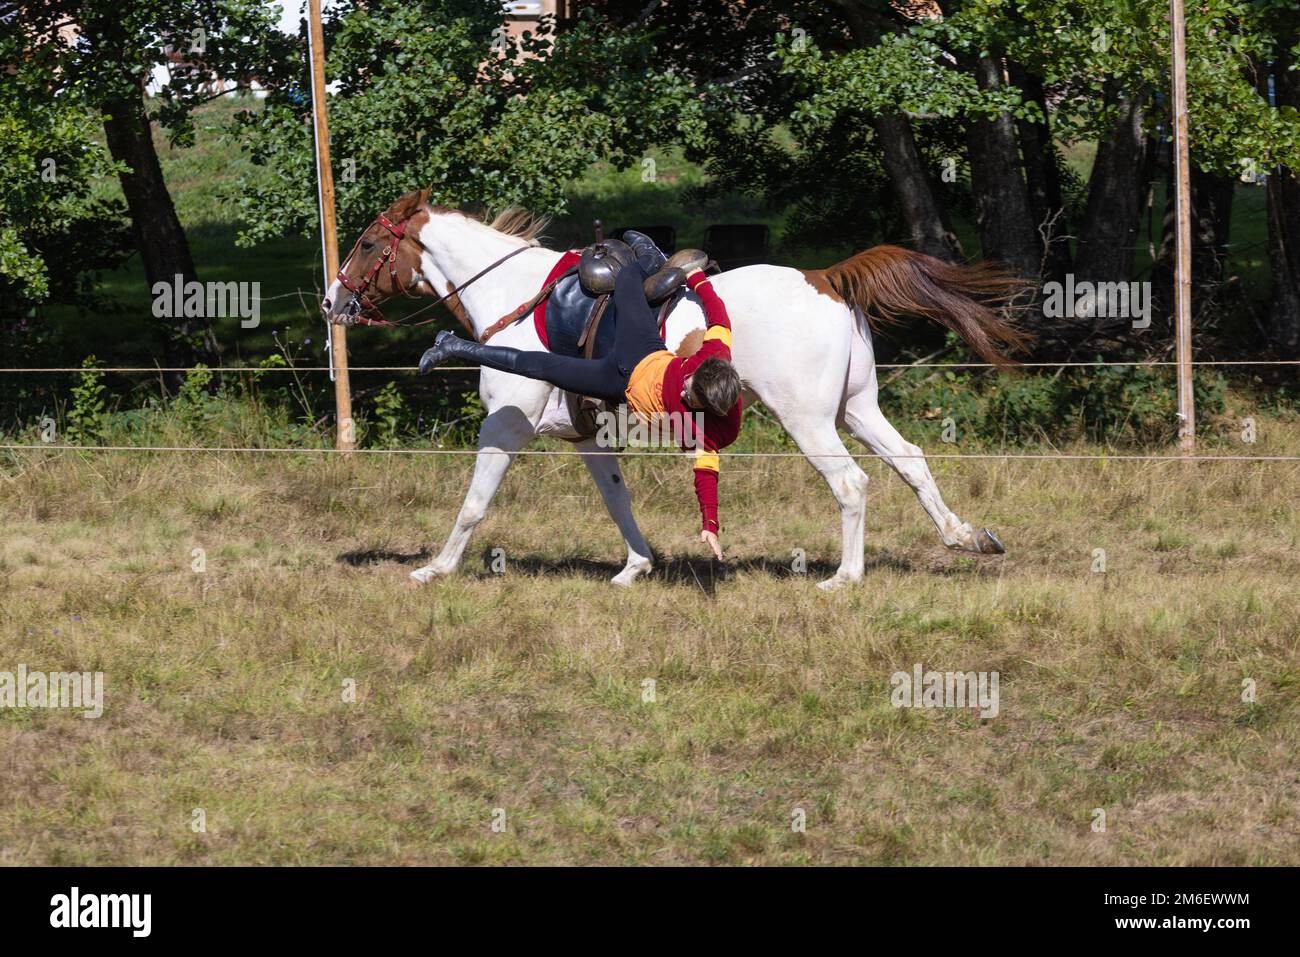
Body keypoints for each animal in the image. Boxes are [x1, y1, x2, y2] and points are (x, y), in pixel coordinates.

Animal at [317, 189, 1024, 587]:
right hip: (856, 409)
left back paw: (844, 579)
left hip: (808, 419)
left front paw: (436, 569)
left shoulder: (507, 425)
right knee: (909, 460)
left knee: (851, 484)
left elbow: (473, 503)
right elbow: (617, 501)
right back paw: (964, 537)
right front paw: (635, 568)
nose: (330, 303)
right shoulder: (586, 436)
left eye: (369, 243)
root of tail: (824, 275)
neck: (514, 297)